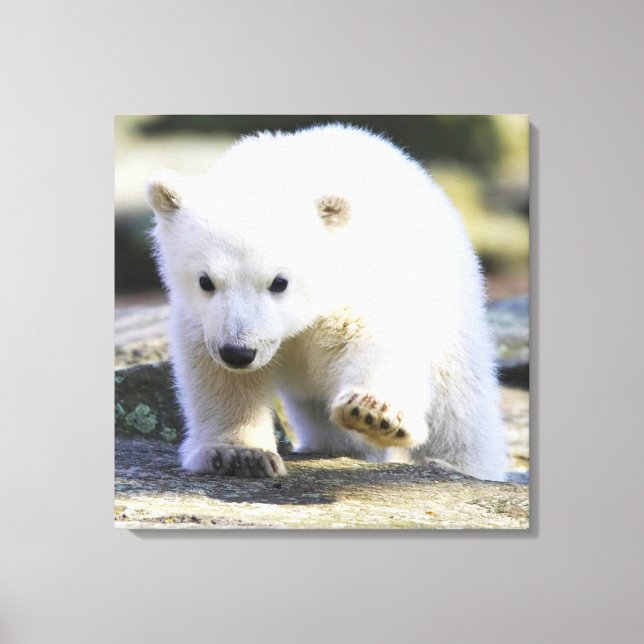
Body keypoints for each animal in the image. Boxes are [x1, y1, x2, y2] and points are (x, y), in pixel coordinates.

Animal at [146, 124, 507, 481]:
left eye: (280, 282)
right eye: (205, 281)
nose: (238, 352)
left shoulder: (357, 285)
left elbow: (377, 341)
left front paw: (373, 413)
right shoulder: (203, 321)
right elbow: (220, 378)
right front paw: (240, 454)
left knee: (459, 401)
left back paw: (457, 463)